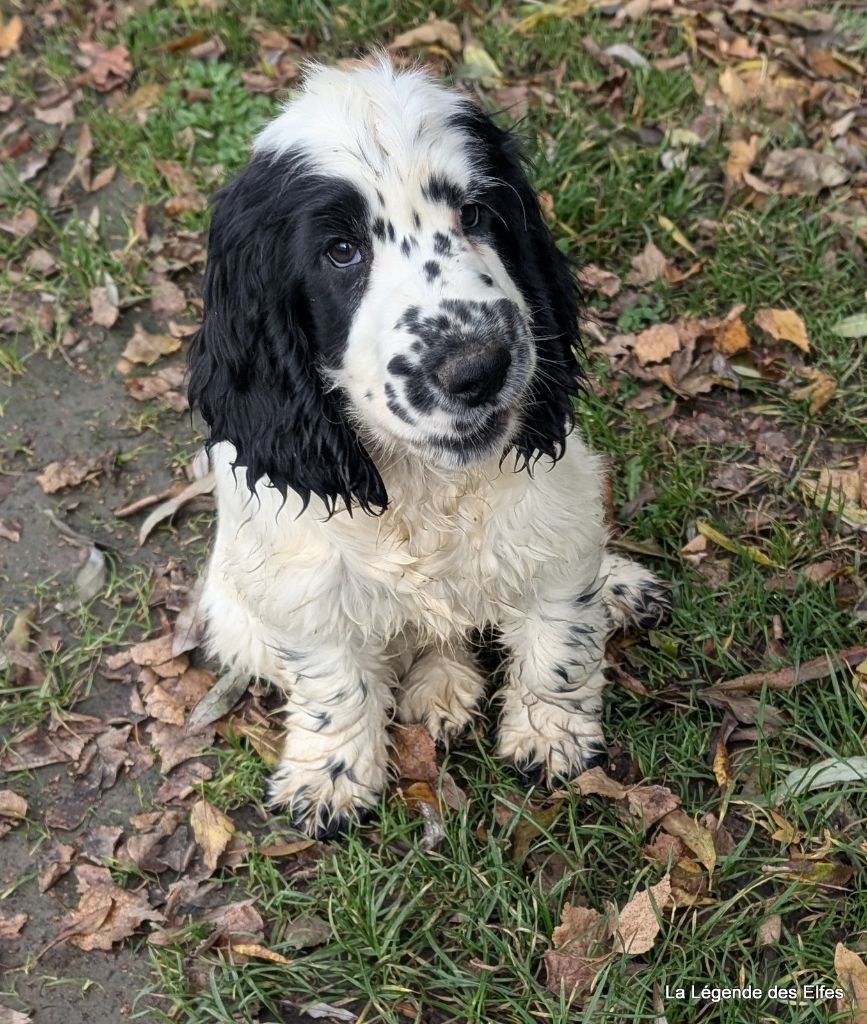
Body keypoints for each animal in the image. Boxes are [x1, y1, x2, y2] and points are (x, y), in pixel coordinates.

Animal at [186, 58, 667, 839]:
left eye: (474, 214)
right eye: (341, 250)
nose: (479, 367)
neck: (427, 485)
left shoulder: (551, 513)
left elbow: (559, 634)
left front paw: (551, 734)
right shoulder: (302, 577)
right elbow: (333, 679)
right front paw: (329, 777)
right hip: (234, 616)